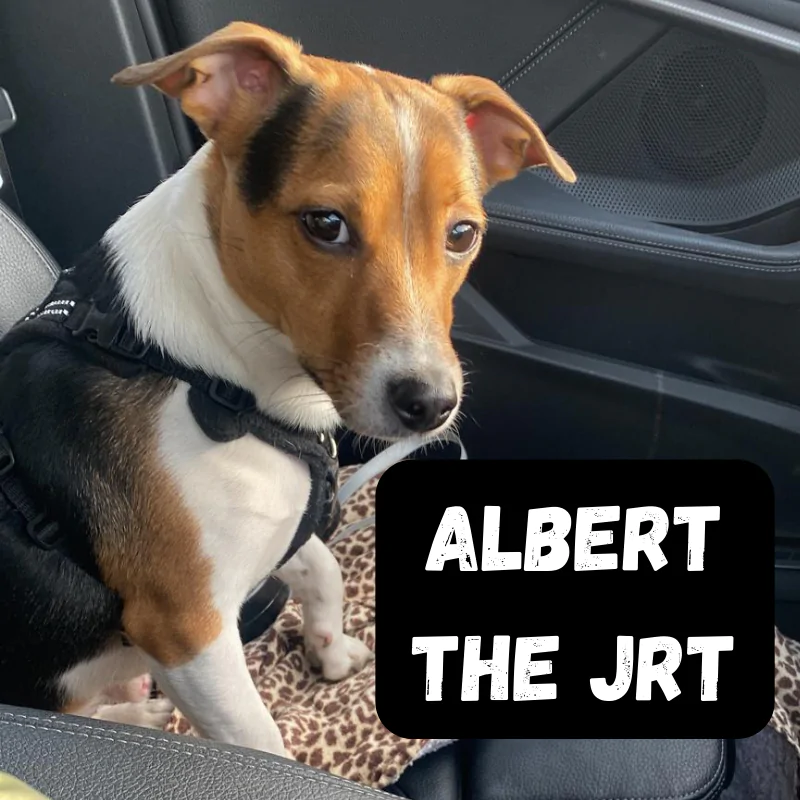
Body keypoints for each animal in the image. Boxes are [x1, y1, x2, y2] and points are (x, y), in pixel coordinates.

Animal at [0, 21, 576, 752]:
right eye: (325, 224)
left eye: (462, 234)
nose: (430, 406)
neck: (210, 377)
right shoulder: (188, 630)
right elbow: (257, 741)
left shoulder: (274, 525)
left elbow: (322, 568)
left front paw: (330, 650)